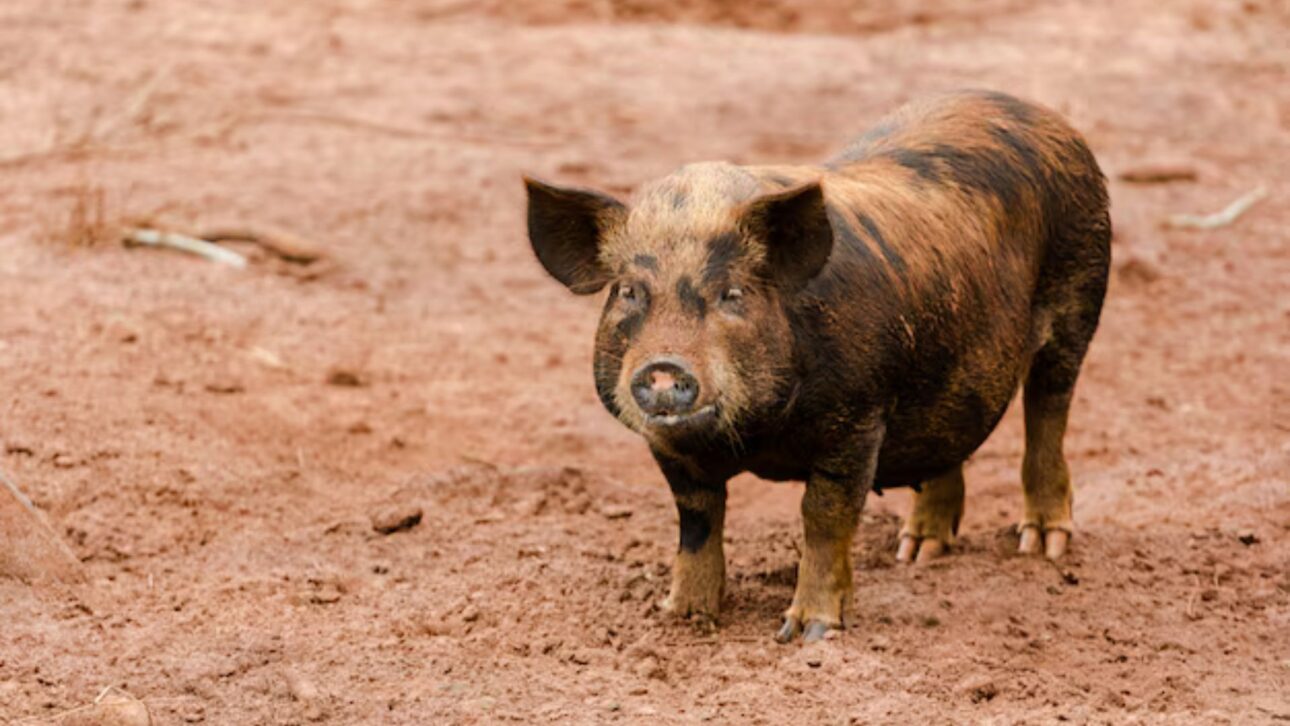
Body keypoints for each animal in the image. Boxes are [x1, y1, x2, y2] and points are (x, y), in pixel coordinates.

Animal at [524, 90, 1110, 642]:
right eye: (628, 292)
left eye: (732, 293)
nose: (664, 368)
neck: (757, 439)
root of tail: (1043, 116)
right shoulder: (670, 448)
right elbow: (697, 521)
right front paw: (681, 617)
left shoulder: (858, 417)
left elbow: (823, 517)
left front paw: (808, 633)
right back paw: (916, 553)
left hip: (1080, 296)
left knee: (1048, 410)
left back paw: (1042, 546)